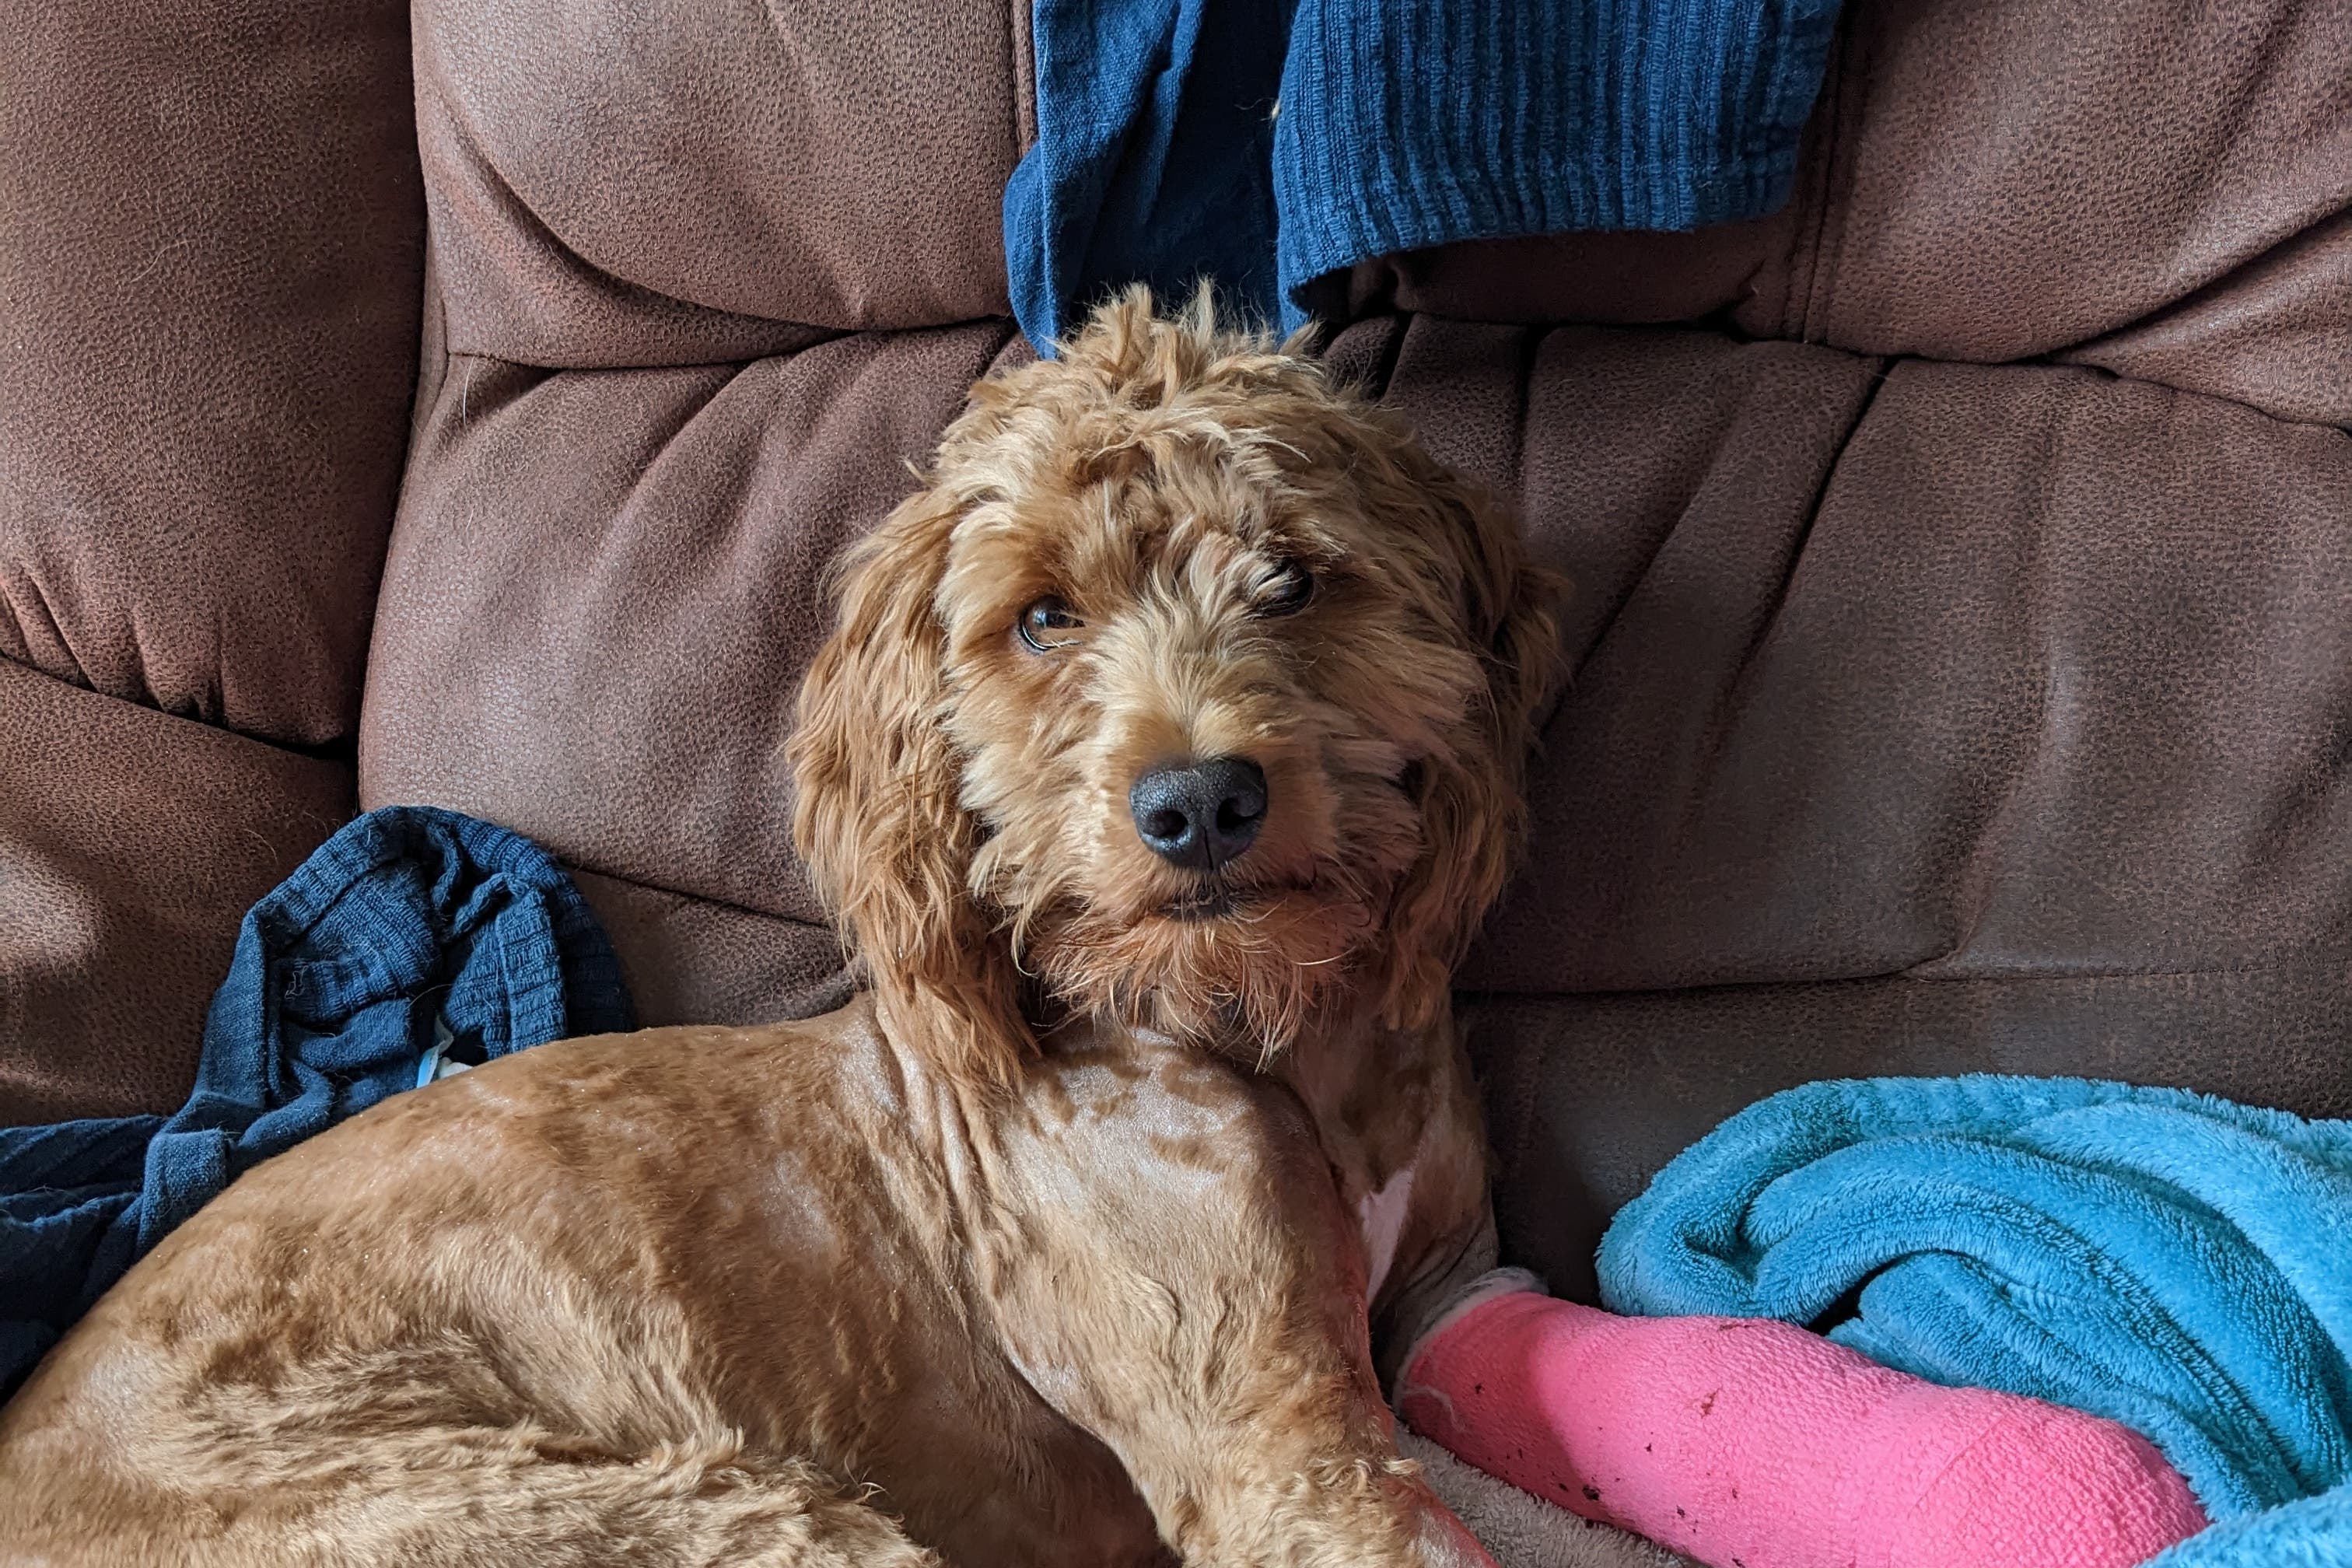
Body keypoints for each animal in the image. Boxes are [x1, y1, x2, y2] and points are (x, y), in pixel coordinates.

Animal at [4, 288, 1561, 1560]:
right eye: (1041, 618)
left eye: (1290, 576)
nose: (1196, 803)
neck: (1265, 1027)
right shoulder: (1277, 1449)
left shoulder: (1446, 1282)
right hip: (699, 1513)